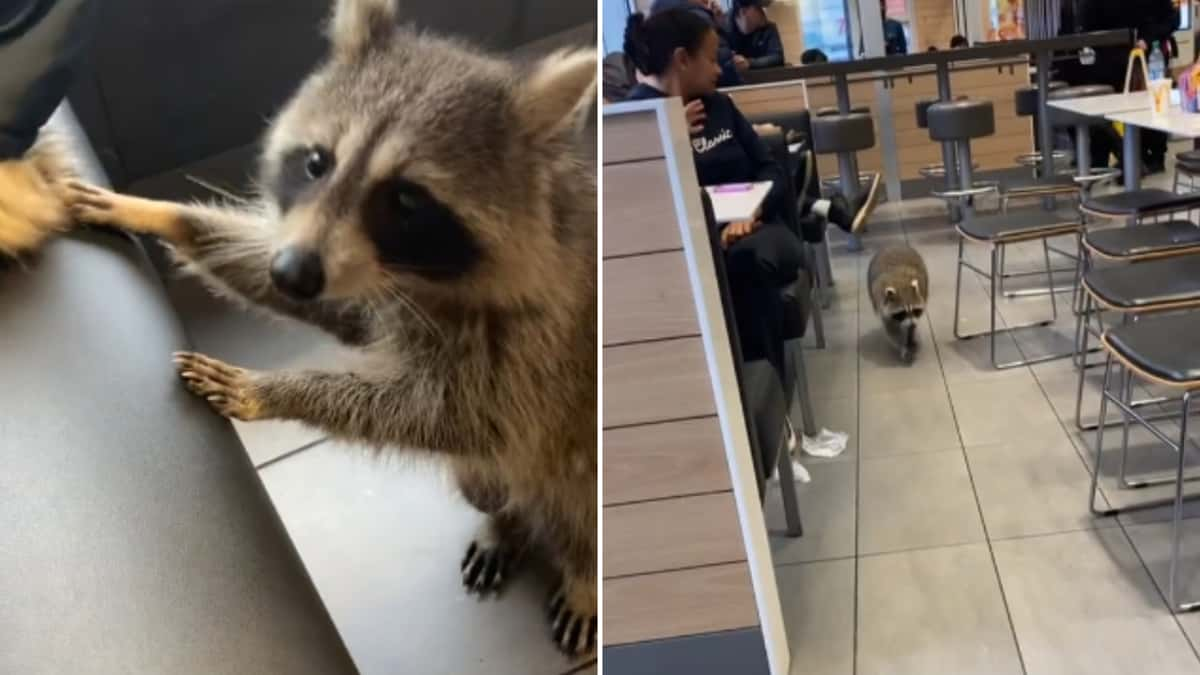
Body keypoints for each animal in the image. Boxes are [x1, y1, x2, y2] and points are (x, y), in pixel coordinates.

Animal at [58, 0, 597, 653]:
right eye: (317, 162)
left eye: (406, 201)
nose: (290, 270)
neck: (425, 279)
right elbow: (337, 310)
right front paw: (166, 216)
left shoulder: (539, 342)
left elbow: (458, 416)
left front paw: (271, 391)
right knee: (486, 481)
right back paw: (505, 522)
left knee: (572, 507)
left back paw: (583, 577)